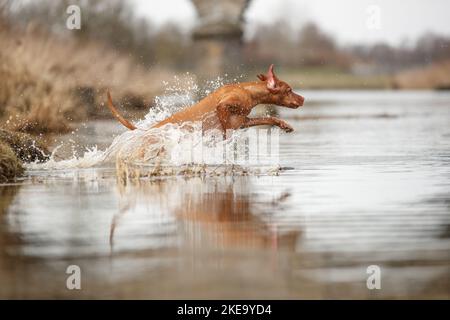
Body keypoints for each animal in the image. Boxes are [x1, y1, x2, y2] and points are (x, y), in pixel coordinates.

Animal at [106, 64, 304, 136]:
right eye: (289, 90)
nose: (303, 98)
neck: (248, 91)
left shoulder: (243, 121)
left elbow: (269, 118)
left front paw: (284, 125)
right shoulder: (223, 106)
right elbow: (225, 128)